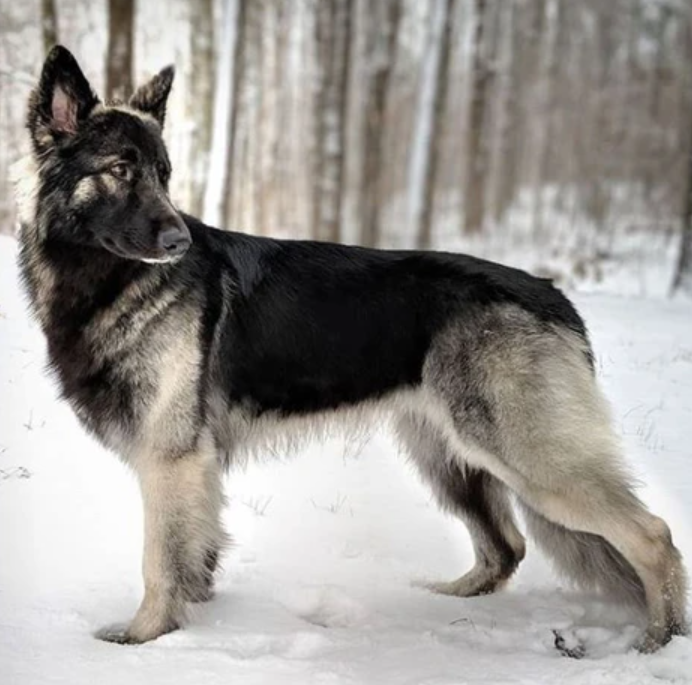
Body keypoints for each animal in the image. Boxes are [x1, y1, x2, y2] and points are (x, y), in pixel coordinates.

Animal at [10, 48, 688, 652]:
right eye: (122, 169)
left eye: (163, 174)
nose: (179, 240)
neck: (106, 282)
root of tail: (556, 296)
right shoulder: (193, 467)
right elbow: (195, 551)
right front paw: (192, 615)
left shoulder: (170, 459)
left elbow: (159, 559)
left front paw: (144, 637)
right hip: (451, 460)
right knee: (506, 547)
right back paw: (449, 599)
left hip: (525, 457)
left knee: (653, 534)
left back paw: (657, 640)